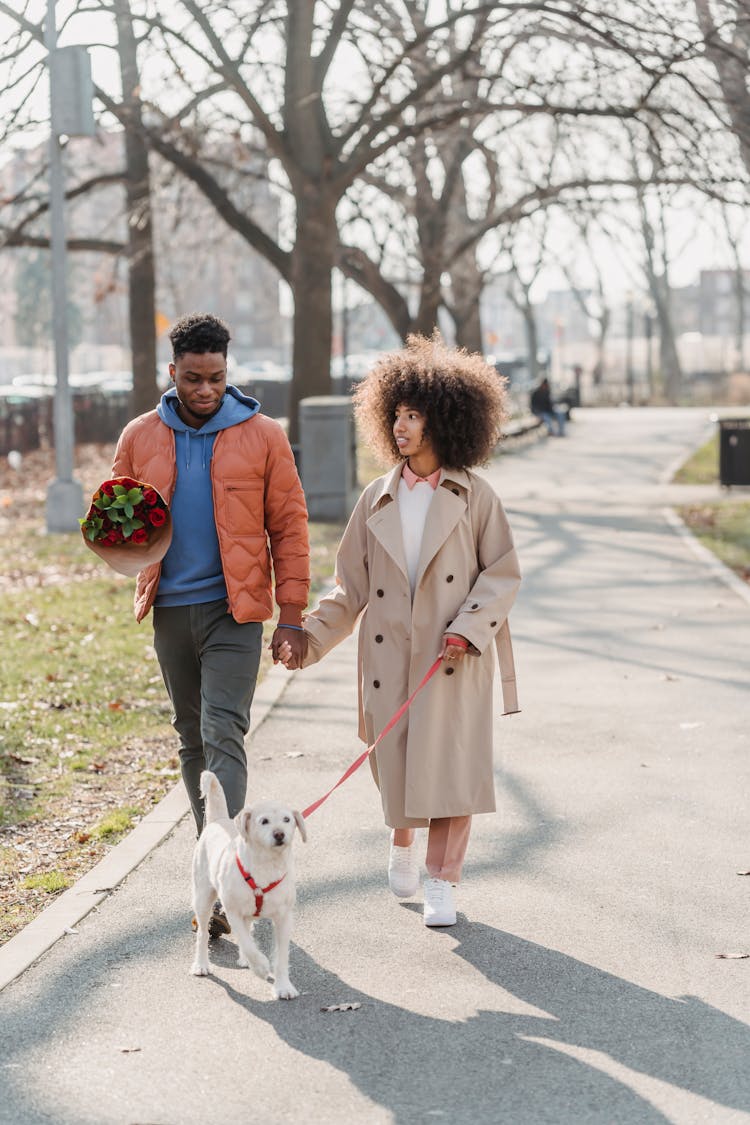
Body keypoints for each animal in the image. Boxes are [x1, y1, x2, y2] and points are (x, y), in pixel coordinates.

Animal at [192, 769, 305, 999]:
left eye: (287, 819)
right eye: (264, 821)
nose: (280, 834)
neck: (266, 865)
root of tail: (218, 820)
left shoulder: (284, 918)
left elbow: (281, 955)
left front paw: (283, 986)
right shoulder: (232, 911)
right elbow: (246, 941)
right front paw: (260, 966)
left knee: (248, 928)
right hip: (203, 898)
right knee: (203, 933)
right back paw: (201, 964)